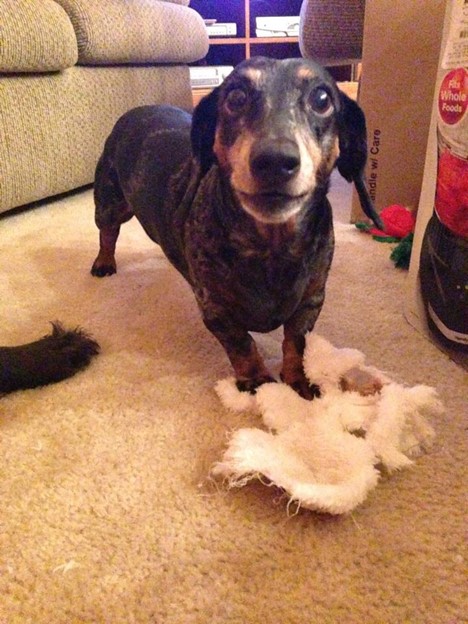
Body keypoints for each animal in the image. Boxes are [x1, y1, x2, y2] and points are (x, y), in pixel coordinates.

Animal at [89, 58, 382, 400]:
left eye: (322, 99)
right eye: (236, 97)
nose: (275, 161)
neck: (272, 248)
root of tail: (135, 111)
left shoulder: (310, 302)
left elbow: (296, 343)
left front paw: (298, 382)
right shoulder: (216, 309)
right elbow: (242, 345)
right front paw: (258, 382)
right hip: (110, 204)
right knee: (107, 233)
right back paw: (104, 262)